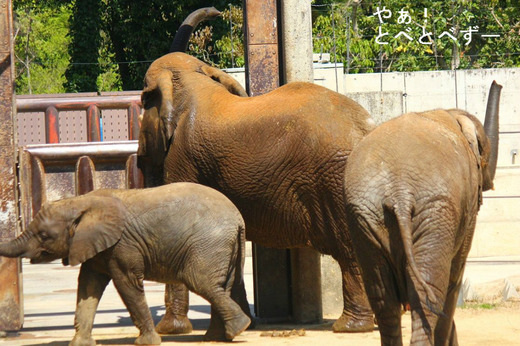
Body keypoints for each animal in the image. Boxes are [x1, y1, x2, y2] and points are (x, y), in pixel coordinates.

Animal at [0, 182, 252, 344]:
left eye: (44, 236)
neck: (81, 201)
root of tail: (239, 219)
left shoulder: (122, 245)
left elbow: (126, 284)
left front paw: (147, 342)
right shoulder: (95, 247)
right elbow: (88, 286)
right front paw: (80, 344)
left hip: (208, 244)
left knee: (200, 282)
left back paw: (238, 329)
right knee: (221, 287)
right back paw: (218, 337)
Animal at [136, 8, 376, 334]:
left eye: (142, 102)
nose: (217, 11)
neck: (194, 81)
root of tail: (368, 128)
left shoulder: (182, 158)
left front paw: (170, 331)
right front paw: (235, 327)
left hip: (334, 177)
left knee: (350, 249)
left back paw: (350, 327)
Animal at [344, 82, 502, 344]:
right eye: (485, 157)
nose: (497, 84)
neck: (449, 113)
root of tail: (399, 189)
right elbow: (455, 274)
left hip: (364, 218)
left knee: (383, 298)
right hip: (434, 214)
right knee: (429, 294)